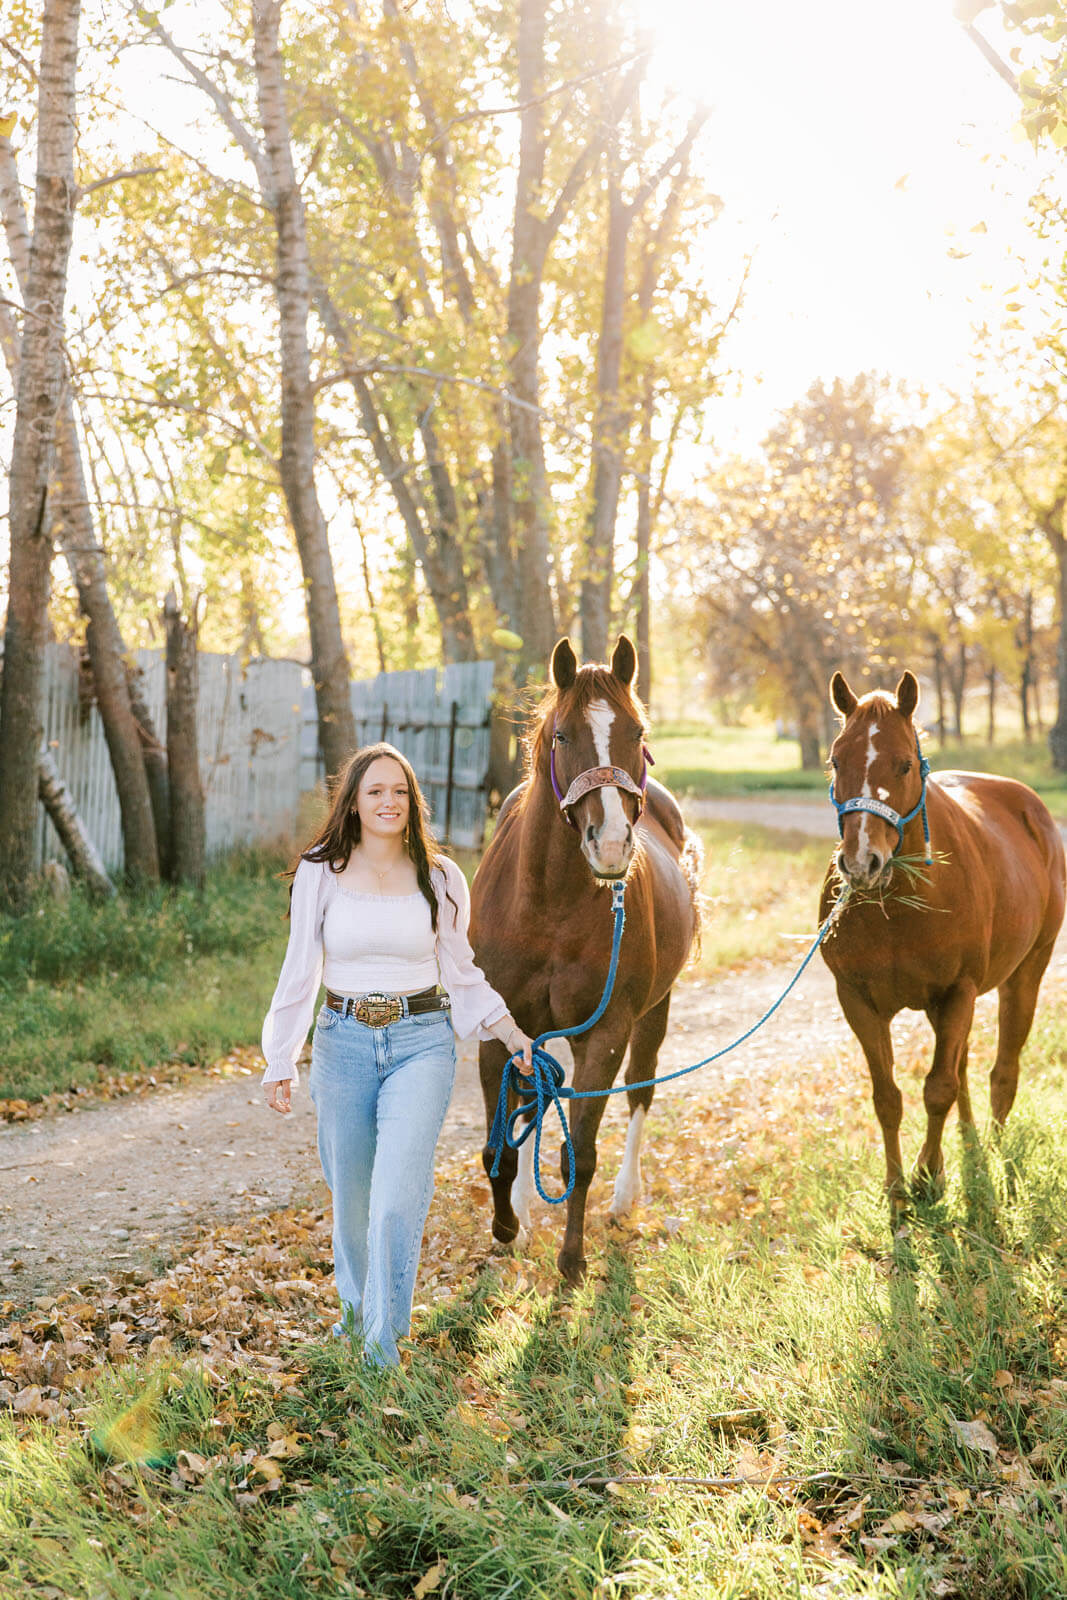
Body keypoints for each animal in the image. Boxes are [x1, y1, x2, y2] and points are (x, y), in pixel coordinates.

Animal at [470, 635, 702, 1283]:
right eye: (563, 736)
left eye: (638, 732)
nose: (612, 843)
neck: (548, 904)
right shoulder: (497, 1030)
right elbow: (500, 1144)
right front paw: (507, 1227)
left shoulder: (606, 1032)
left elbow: (584, 1153)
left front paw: (571, 1261)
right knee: (532, 1098)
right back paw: (525, 1211)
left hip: (655, 1012)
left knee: (641, 1090)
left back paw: (623, 1200)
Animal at [820, 668, 1065, 1214]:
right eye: (836, 760)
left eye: (905, 764)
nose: (861, 862)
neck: (899, 905)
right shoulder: (858, 1001)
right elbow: (888, 1097)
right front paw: (896, 1191)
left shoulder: (958, 993)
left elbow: (938, 1089)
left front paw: (928, 1178)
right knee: (966, 1067)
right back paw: (969, 1141)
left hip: (1025, 975)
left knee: (1001, 1071)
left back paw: (992, 1151)